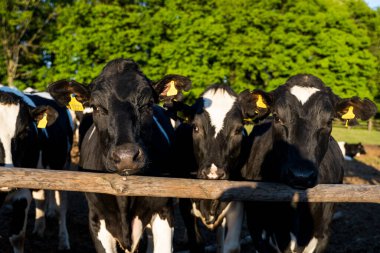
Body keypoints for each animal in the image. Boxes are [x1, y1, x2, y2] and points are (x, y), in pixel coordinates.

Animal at [0, 86, 73, 251]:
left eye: (24, 132)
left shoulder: (22, 193)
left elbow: (17, 237)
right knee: (41, 196)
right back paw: (39, 228)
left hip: (63, 164)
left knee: (63, 205)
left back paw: (64, 240)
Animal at [173, 84, 258, 253]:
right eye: (196, 128)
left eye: (238, 130)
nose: (213, 174)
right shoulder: (185, 199)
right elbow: (196, 242)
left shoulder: (238, 198)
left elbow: (231, 246)